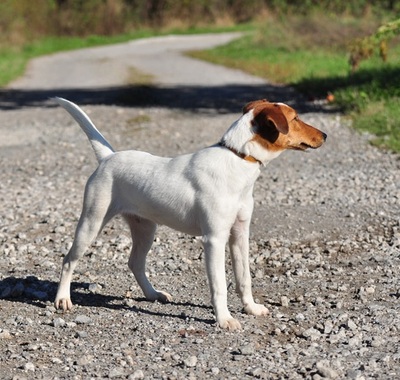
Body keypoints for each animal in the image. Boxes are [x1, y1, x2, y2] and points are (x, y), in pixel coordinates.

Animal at [53, 97, 326, 330]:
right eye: (295, 118)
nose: (325, 135)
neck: (238, 158)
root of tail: (108, 158)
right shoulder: (214, 239)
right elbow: (219, 286)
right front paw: (224, 319)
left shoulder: (240, 234)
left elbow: (244, 278)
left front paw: (251, 308)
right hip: (91, 222)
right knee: (68, 259)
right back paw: (63, 299)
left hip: (145, 228)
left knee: (135, 262)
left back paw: (153, 294)